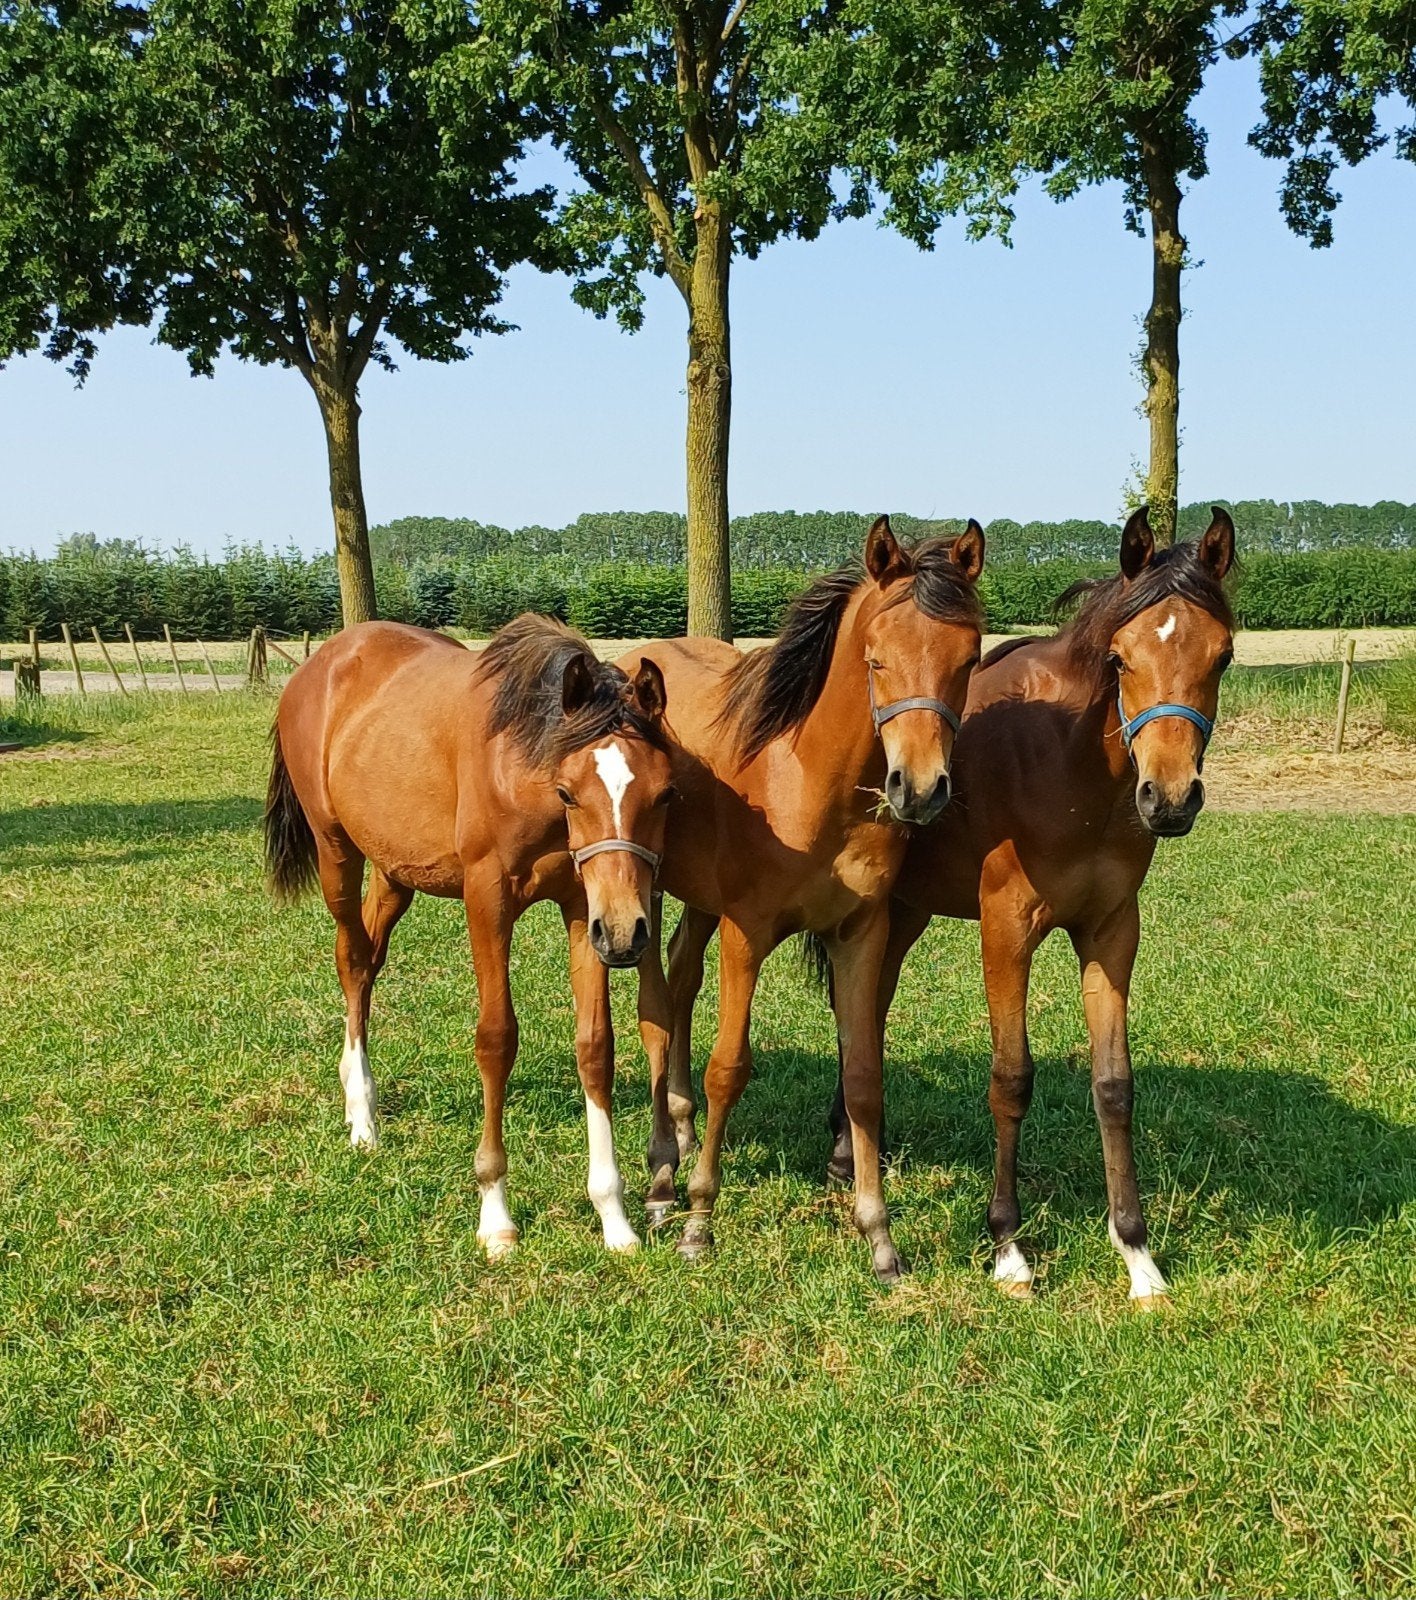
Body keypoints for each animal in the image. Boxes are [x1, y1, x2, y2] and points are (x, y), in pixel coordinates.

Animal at [262, 616, 677, 1258]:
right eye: (568, 792)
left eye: (664, 793)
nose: (628, 932)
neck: (522, 765)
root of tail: (321, 663)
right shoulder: (488, 903)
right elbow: (496, 1039)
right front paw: (495, 1215)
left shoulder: (583, 909)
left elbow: (595, 1047)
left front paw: (614, 1217)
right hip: (337, 854)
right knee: (351, 958)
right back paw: (362, 1116)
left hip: (395, 873)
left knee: (369, 960)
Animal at [618, 515, 986, 1282]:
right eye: (876, 660)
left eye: (969, 658)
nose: (919, 789)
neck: (808, 780)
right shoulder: (748, 933)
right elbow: (730, 1069)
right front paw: (700, 1221)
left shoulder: (861, 935)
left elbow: (864, 1075)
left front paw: (878, 1236)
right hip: (647, 892)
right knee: (656, 1008)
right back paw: (664, 1177)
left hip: (700, 904)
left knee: (681, 977)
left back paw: (682, 1126)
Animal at [817, 505, 1237, 1305]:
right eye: (1120, 659)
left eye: (1224, 656)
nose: (1168, 798)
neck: (1068, 761)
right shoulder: (1006, 930)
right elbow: (1011, 1080)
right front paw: (1008, 1244)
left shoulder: (1111, 932)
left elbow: (1114, 1086)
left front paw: (1136, 1252)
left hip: (904, 914)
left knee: (868, 1015)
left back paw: (845, 1153)